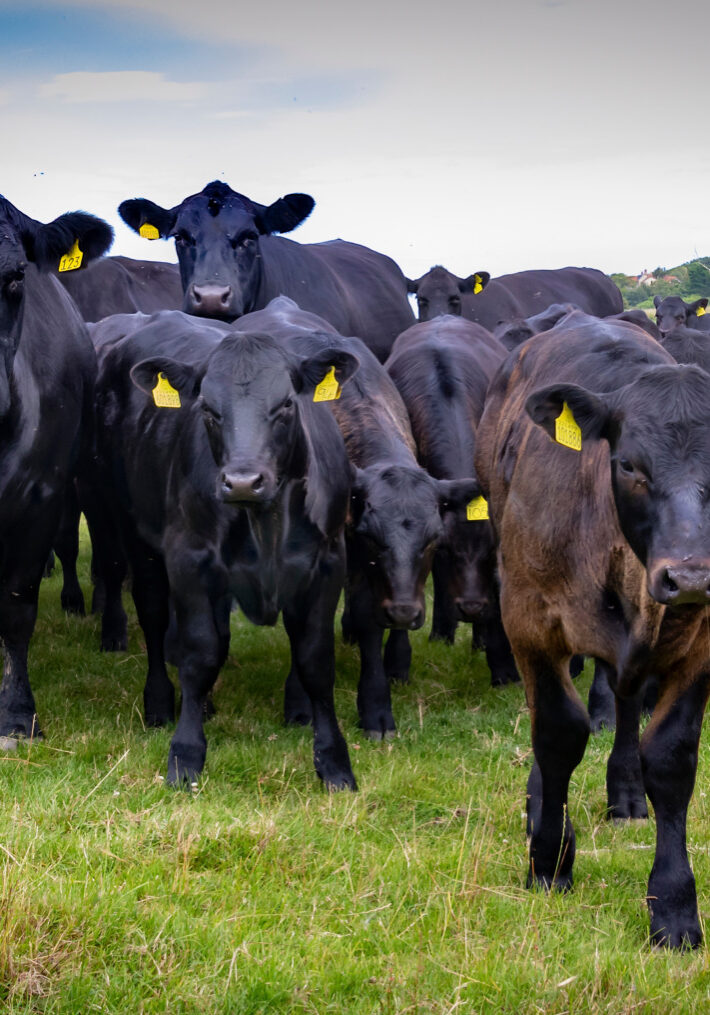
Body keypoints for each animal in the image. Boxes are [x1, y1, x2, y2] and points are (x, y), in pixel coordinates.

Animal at [94, 308, 358, 789]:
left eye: (287, 405)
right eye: (208, 409)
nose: (242, 481)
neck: (266, 523)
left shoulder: (329, 564)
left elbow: (315, 661)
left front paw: (335, 763)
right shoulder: (189, 559)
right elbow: (200, 653)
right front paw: (185, 755)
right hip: (132, 529)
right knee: (155, 617)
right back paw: (161, 703)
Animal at [225, 296, 479, 738]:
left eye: (433, 540)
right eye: (372, 537)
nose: (405, 612)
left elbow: (372, 618)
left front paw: (385, 688)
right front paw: (304, 703)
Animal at [475, 314, 710, 948]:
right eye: (628, 464)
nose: (691, 576)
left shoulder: (702, 644)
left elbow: (671, 758)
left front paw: (674, 906)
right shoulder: (528, 621)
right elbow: (558, 732)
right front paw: (549, 860)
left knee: (625, 702)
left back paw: (625, 791)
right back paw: (539, 805)